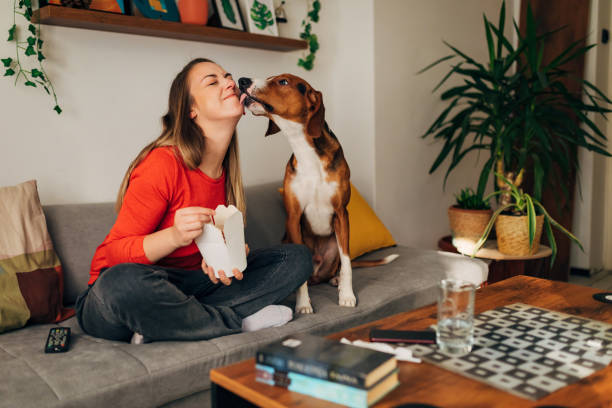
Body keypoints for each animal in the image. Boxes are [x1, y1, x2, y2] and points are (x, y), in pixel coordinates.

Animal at [237, 75, 400, 314]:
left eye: (283, 81)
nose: (242, 80)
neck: (306, 151)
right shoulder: (293, 216)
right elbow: (300, 279)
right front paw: (303, 304)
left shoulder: (341, 214)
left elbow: (347, 263)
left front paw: (347, 295)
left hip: (336, 242)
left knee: (338, 266)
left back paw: (336, 280)